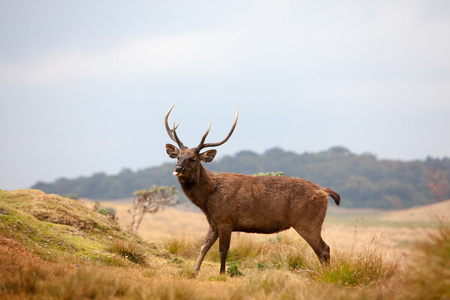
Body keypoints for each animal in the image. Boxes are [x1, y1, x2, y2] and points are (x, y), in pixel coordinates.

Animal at [163, 106, 340, 274]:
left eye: (193, 159)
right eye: (178, 157)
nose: (178, 168)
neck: (207, 199)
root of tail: (324, 191)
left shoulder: (226, 219)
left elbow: (223, 250)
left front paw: (222, 273)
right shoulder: (213, 222)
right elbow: (203, 247)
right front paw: (195, 270)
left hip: (307, 221)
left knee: (324, 249)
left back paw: (326, 276)